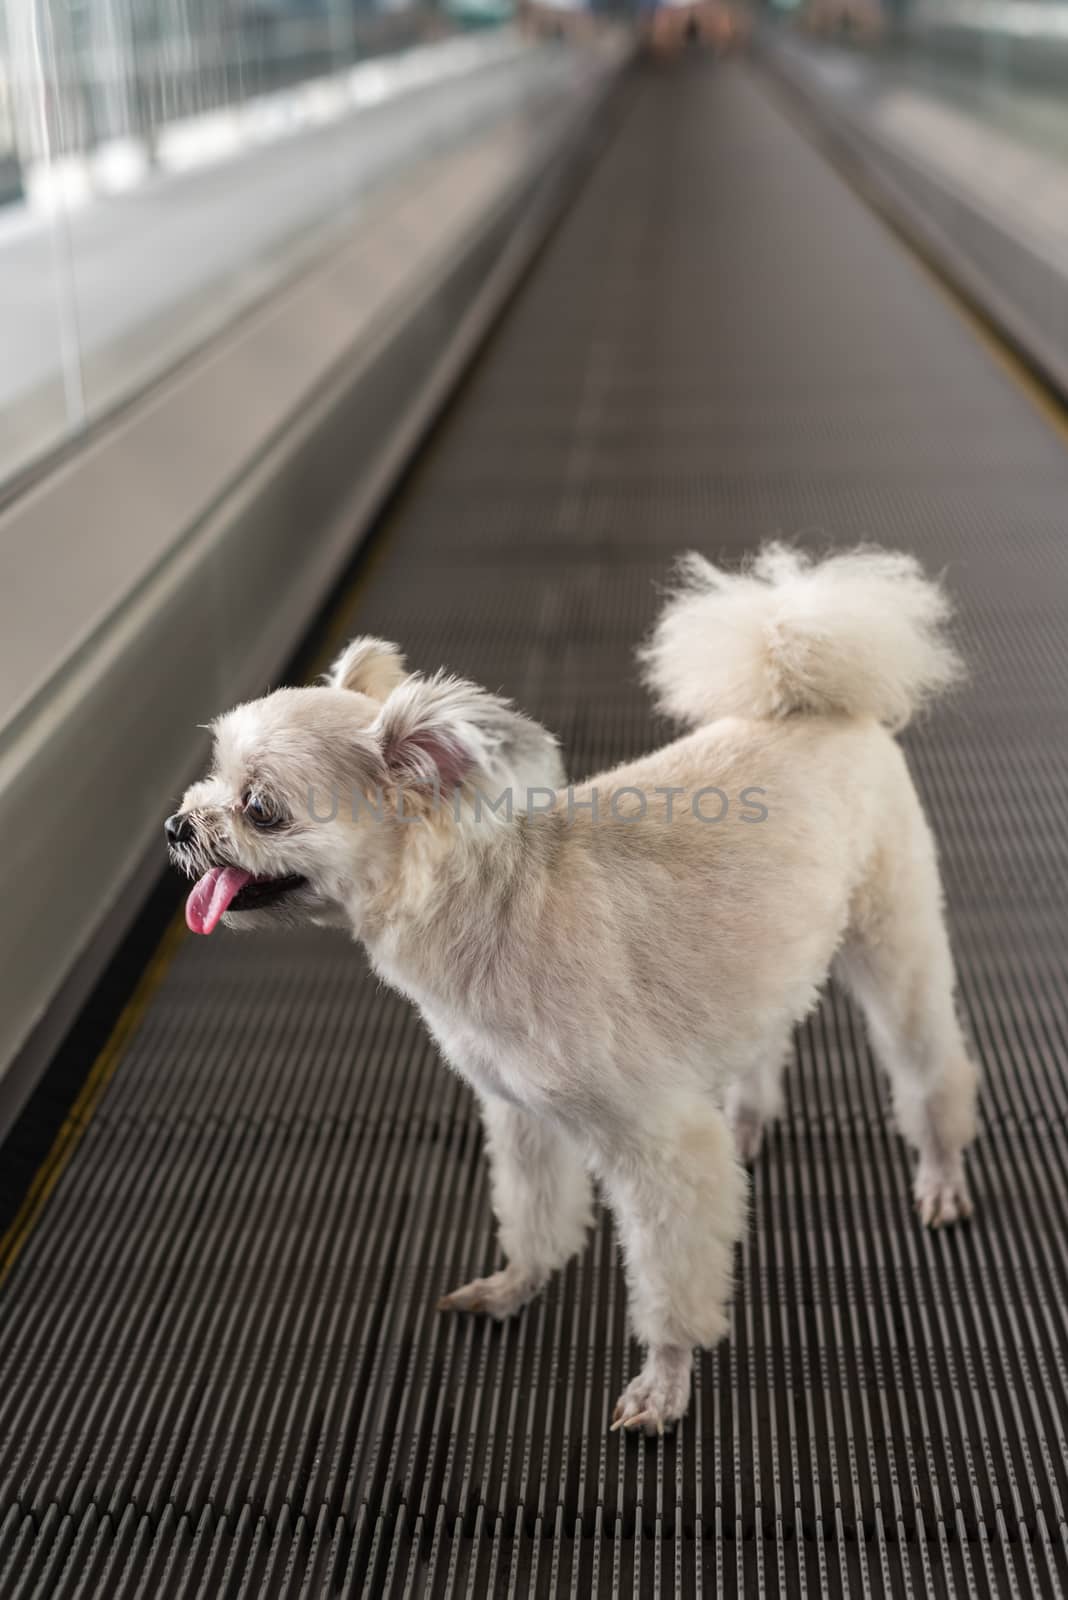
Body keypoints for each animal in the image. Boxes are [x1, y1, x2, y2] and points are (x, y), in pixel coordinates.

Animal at [164, 544, 978, 1433]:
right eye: (210, 779)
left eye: (260, 808)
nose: (177, 826)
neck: (492, 908)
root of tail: (808, 702)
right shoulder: (523, 1118)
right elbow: (535, 1216)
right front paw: (515, 1287)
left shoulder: (661, 1148)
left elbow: (668, 1282)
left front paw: (663, 1381)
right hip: (775, 951)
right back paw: (750, 1120)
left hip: (894, 943)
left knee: (930, 1070)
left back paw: (941, 1175)